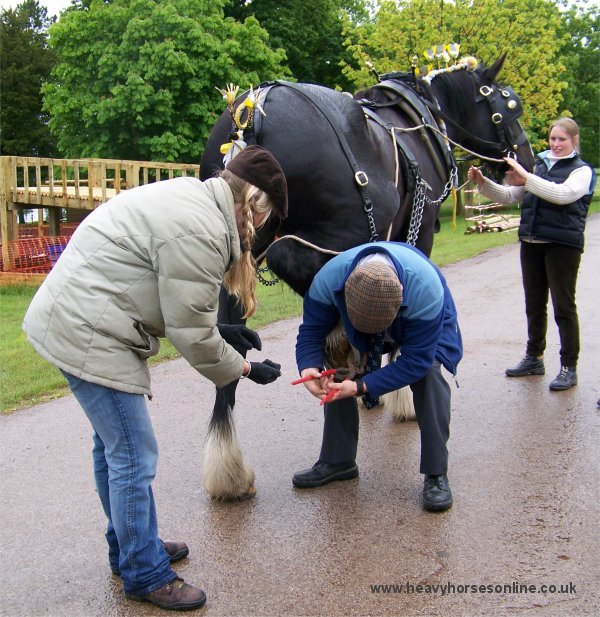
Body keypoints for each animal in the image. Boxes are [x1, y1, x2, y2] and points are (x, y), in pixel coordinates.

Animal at [199, 54, 532, 500]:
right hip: (333, 230)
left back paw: (229, 469)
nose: (527, 162)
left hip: (231, 249)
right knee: (298, 265)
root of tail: (253, 112)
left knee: (227, 342)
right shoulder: (419, 234)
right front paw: (398, 393)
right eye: (508, 107)